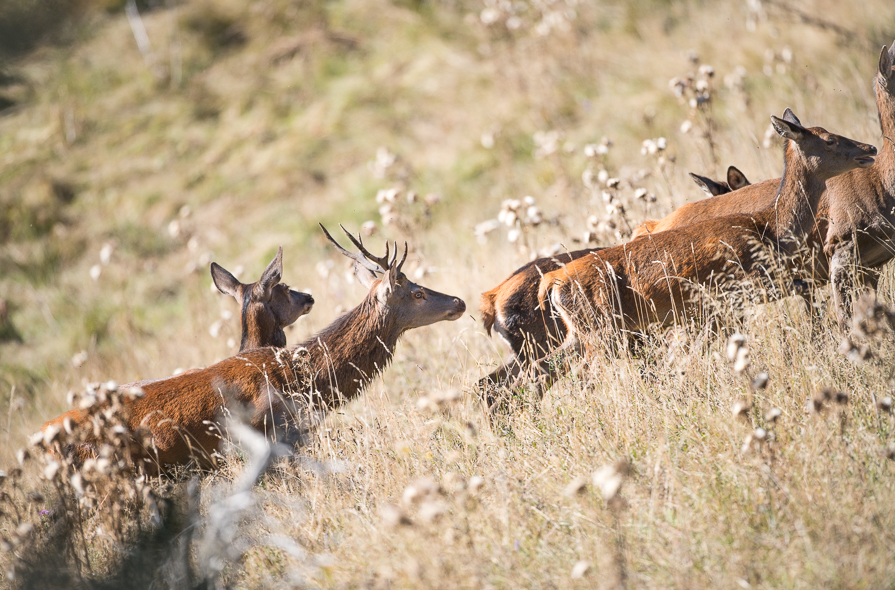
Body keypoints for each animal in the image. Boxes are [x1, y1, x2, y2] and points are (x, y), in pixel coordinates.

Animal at [540, 112, 876, 384]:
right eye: (830, 140)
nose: (870, 149)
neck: (769, 230)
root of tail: (552, 282)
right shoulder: (736, 289)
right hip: (602, 330)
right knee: (582, 374)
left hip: (583, 331)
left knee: (543, 368)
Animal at [632, 42, 895, 332]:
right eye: (829, 140)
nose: (869, 148)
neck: (882, 185)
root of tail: (648, 227)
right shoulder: (842, 251)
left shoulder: (869, 264)